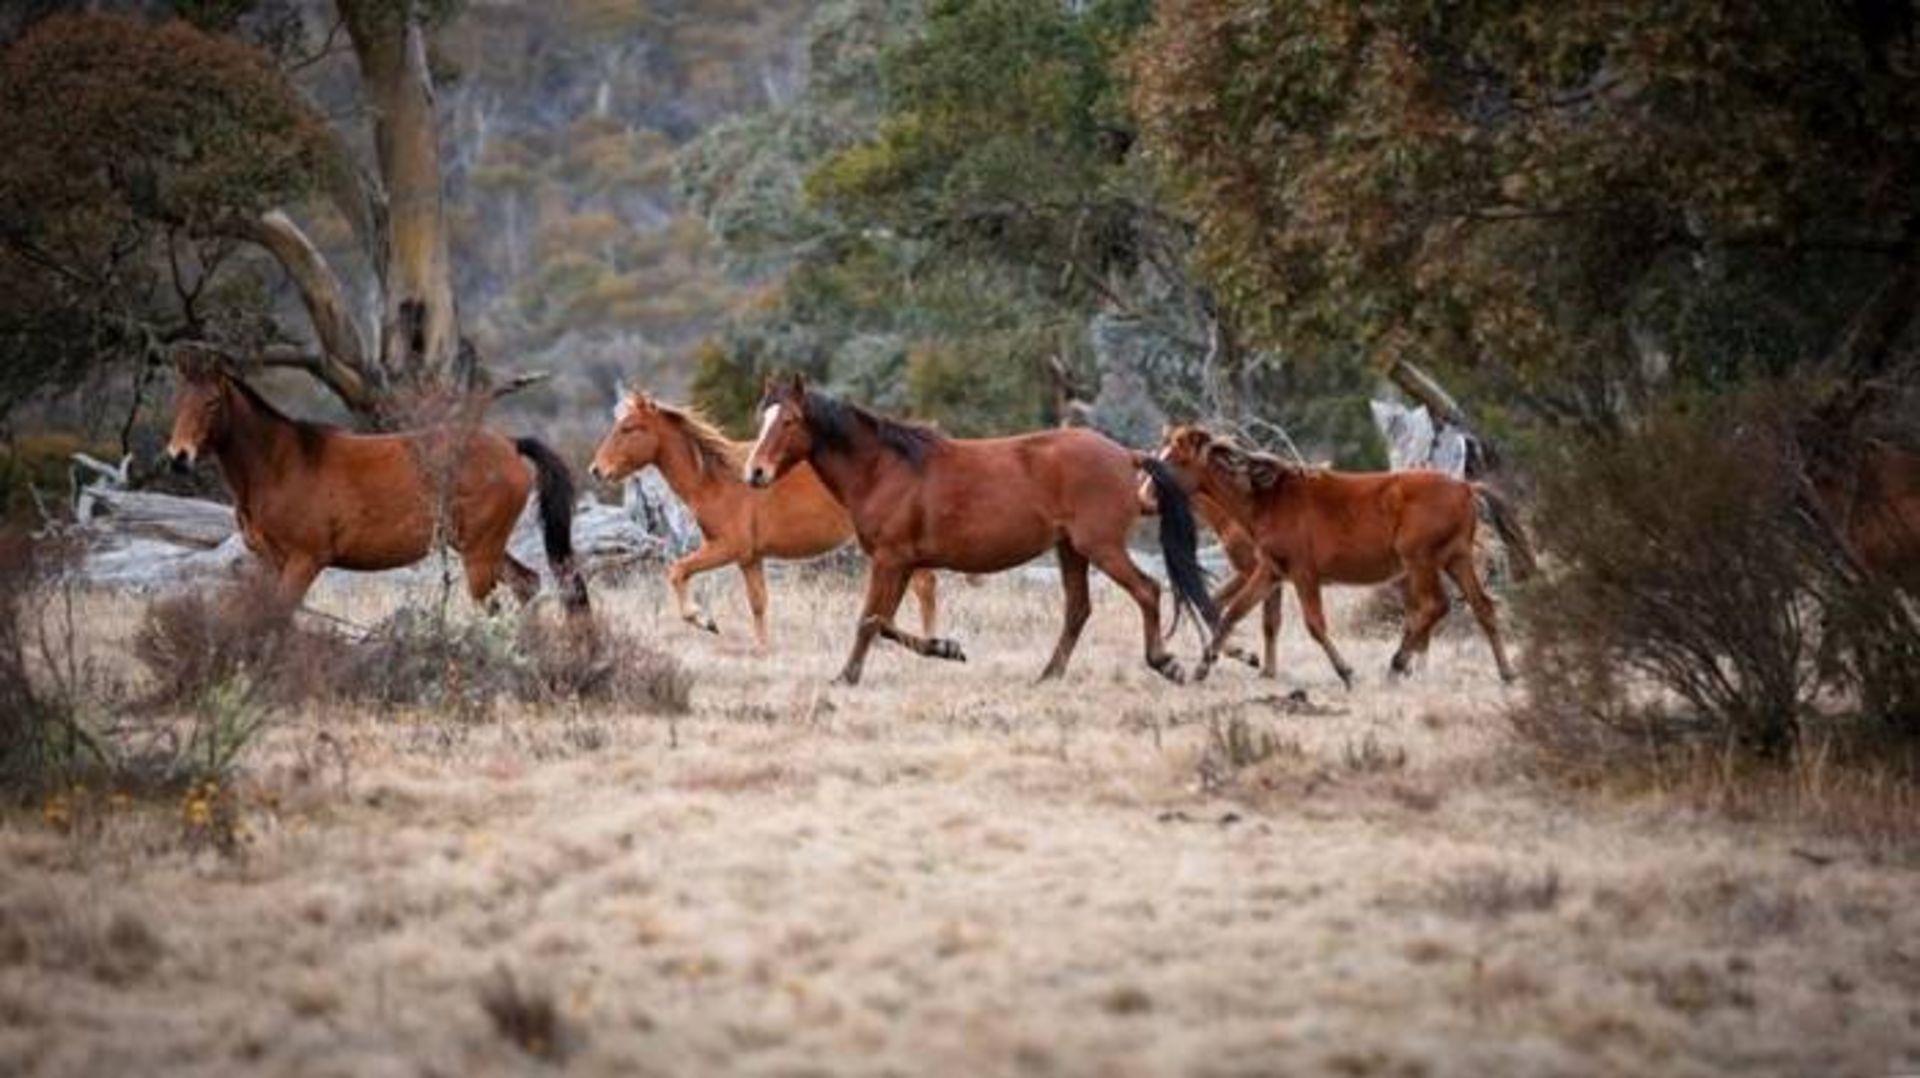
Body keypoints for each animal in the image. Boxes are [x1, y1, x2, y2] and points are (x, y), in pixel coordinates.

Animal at [164, 353, 583, 614]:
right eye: (178, 399)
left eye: (212, 402)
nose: (178, 457)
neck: (282, 462)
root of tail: (511, 445)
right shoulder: (269, 564)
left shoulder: (304, 561)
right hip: (479, 547)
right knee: (527, 585)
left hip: (480, 552)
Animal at [587, 386, 940, 645]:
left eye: (629, 428)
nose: (596, 469)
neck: (718, 479)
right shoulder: (750, 558)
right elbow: (758, 604)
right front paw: (763, 650)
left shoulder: (728, 548)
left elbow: (677, 571)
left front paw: (704, 620)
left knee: (924, 587)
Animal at [737, 374, 1213, 684]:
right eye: (762, 419)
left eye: (790, 421)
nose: (754, 473)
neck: (884, 469)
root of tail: (1127, 455)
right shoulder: (903, 563)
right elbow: (884, 622)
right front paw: (946, 648)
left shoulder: (890, 560)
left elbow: (869, 620)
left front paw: (847, 677)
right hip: (1071, 550)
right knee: (1078, 609)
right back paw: (1048, 675)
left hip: (1101, 547)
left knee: (1147, 590)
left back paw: (1164, 663)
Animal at [1144, 424, 1520, 684]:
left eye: (1174, 459)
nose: (1146, 496)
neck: (1267, 498)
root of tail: (1466, 487)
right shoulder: (1271, 571)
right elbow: (1233, 612)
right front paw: (1202, 668)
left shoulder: (1303, 574)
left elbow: (1314, 625)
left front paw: (1347, 672)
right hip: (1456, 560)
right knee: (1482, 607)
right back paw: (1506, 672)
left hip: (1421, 562)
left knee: (1433, 607)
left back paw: (1397, 665)